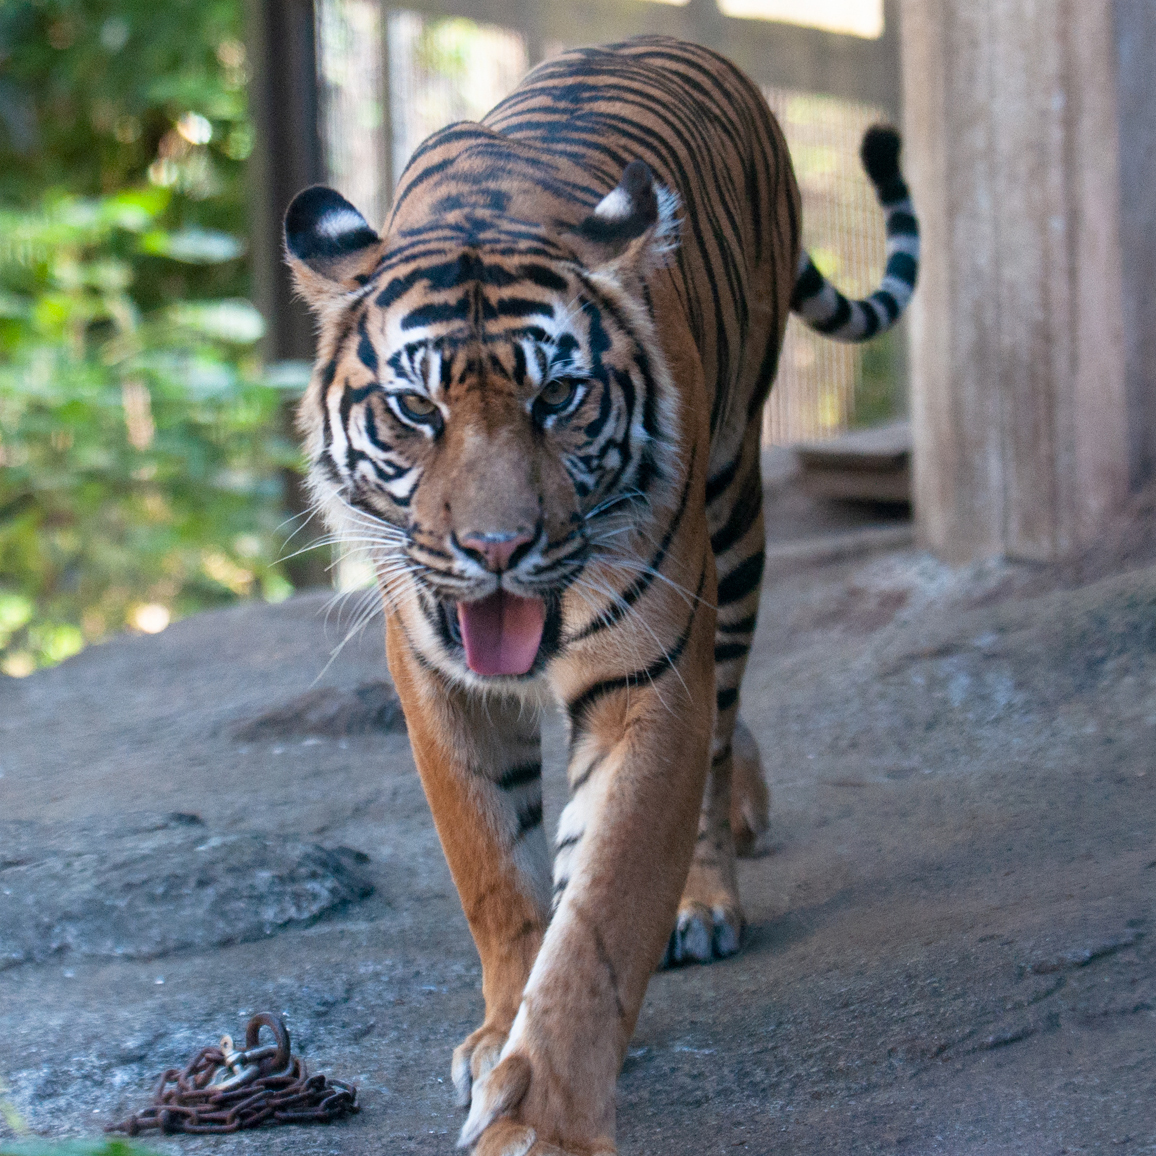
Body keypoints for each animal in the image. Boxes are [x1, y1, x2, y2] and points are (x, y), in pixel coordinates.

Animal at [284, 31, 915, 1151]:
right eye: (415, 410)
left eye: (559, 397)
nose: (496, 548)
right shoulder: (434, 676)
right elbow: (496, 871)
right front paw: (499, 1033)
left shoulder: (649, 679)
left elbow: (603, 913)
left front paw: (544, 1120)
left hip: (733, 520)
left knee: (722, 721)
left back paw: (708, 889)